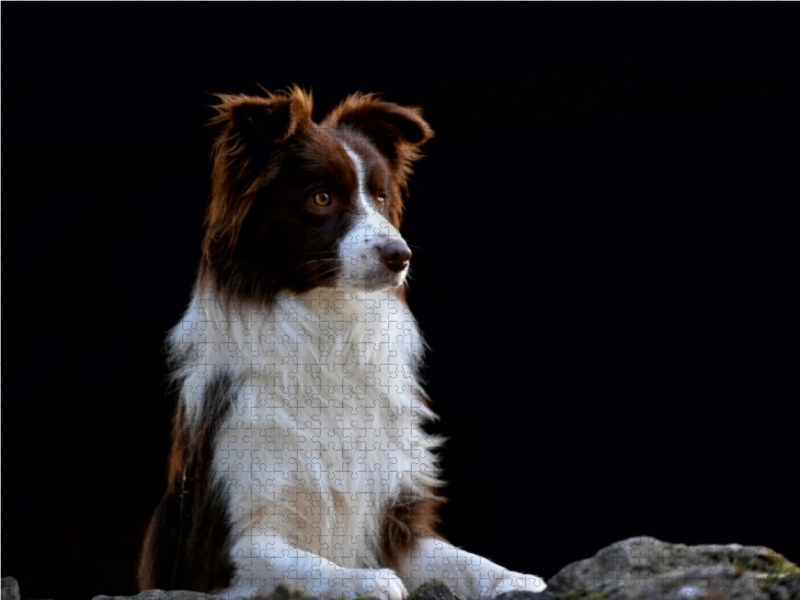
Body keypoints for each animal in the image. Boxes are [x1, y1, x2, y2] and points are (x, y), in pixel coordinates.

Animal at [138, 86, 548, 596]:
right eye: (321, 197)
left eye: (380, 196)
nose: (401, 255)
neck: (327, 327)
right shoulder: (224, 548)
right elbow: (307, 565)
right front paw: (365, 580)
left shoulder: (395, 514)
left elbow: (465, 560)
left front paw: (517, 578)